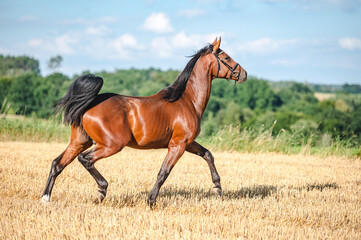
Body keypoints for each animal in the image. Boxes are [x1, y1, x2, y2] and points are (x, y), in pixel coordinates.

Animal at [40, 36, 246, 207]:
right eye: (226, 57)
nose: (244, 74)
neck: (187, 101)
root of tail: (89, 103)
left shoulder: (187, 142)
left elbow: (208, 154)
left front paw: (217, 187)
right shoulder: (178, 144)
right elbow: (163, 172)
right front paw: (151, 201)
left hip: (80, 142)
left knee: (57, 164)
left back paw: (45, 198)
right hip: (111, 145)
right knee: (85, 160)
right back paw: (101, 189)